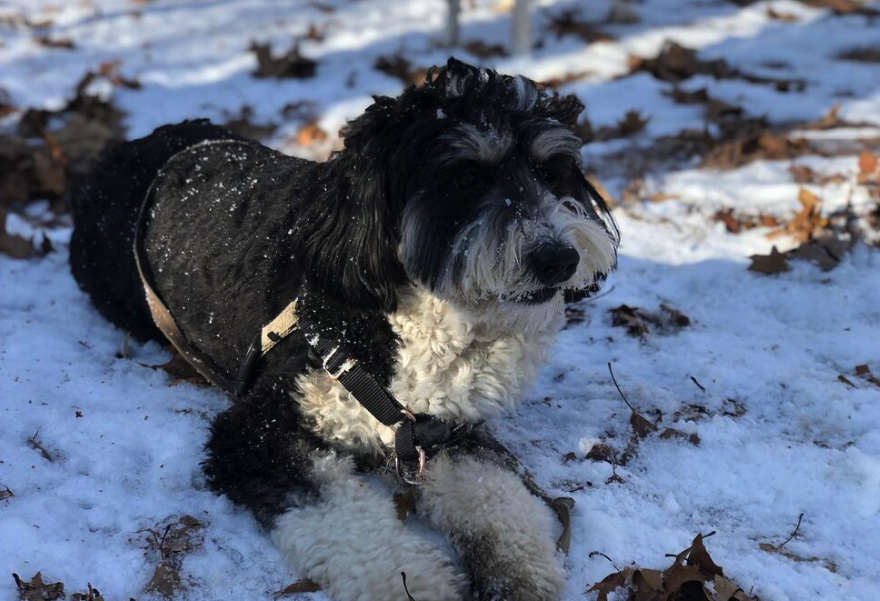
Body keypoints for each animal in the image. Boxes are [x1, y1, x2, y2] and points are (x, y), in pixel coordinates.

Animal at [70, 57, 620, 600]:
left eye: (550, 173)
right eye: (465, 179)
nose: (558, 259)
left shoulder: (443, 429)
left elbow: (496, 497)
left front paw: (515, 573)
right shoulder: (257, 431)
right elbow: (349, 523)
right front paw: (414, 582)